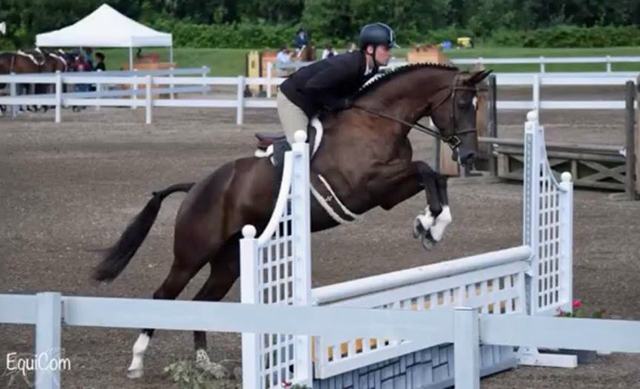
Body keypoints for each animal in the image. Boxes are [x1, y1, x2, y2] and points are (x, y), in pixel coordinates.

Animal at [91, 63, 490, 376]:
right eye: (461, 104)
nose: (471, 155)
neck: (377, 121)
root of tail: (197, 186)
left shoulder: (386, 193)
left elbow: (434, 176)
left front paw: (431, 224)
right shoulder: (367, 188)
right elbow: (425, 169)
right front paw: (429, 223)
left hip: (228, 261)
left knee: (202, 301)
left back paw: (206, 364)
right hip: (193, 253)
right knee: (164, 294)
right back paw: (137, 361)